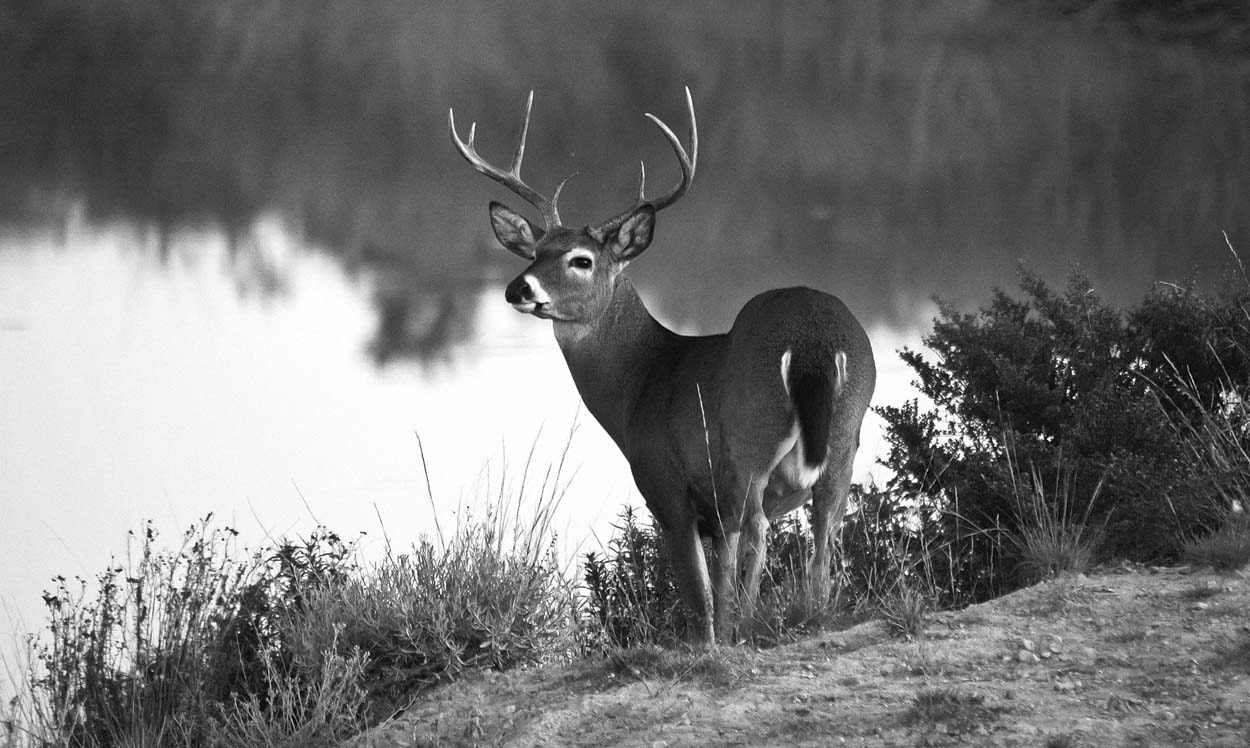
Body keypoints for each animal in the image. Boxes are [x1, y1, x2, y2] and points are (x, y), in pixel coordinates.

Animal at [452, 89, 880, 645]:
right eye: (534, 253)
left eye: (581, 259)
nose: (517, 289)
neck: (643, 382)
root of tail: (812, 345)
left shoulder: (666, 486)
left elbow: (698, 590)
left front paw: (712, 640)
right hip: (844, 439)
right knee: (825, 535)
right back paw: (812, 614)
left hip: (749, 442)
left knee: (759, 532)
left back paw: (746, 627)